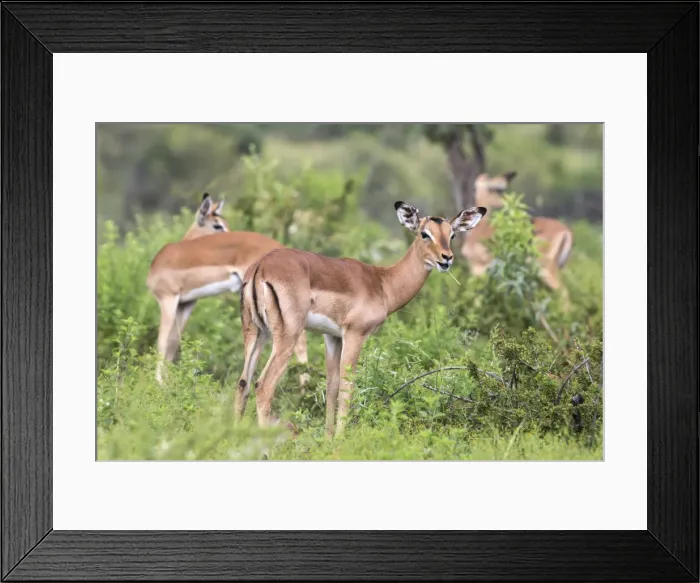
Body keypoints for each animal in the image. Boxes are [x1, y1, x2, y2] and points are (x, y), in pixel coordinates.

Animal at [146, 193, 308, 385]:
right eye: (217, 225)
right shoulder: (186, 303)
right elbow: (173, 342)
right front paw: (168, 382)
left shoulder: (168, 298)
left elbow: (162, 342)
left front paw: (159, 383)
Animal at [235, 201, 487, 437]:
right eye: (424, 233)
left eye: (451, 235)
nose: (447, 259)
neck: (383, 283)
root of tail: (261, 267)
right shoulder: (355, 334)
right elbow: (348, 386)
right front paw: (339, 439)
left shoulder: (332, 337)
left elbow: (332, 385)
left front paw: (327, 439)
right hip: (287, 335)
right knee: (263, 386)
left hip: (255, 332)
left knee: (243, 383)